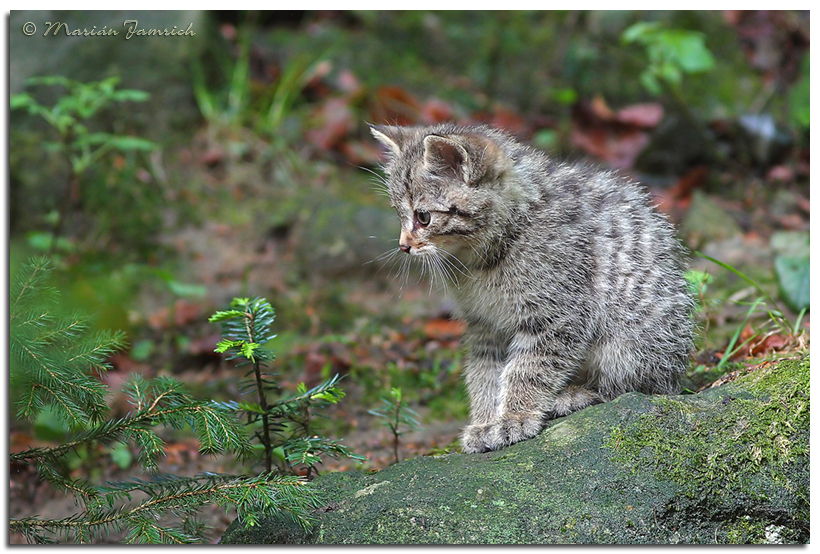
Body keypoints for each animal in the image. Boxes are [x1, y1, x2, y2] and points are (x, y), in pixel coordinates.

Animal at [372, 123, 700, 450]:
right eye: (399, 214)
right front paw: (485, 421)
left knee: (636, 387)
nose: (403, 246)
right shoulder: (485, 325)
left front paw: (514, 417)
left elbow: (529, 367)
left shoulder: (560, 311)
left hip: (635, 341)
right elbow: (484, 373)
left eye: (423, 217)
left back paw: (577, 394)